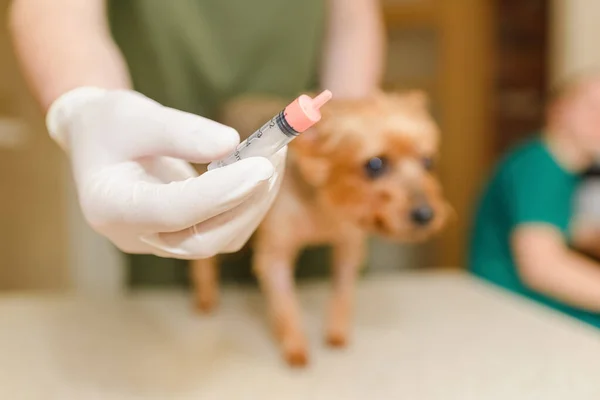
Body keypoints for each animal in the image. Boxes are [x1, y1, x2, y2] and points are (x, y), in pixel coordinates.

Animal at [190, 90, 448, 366]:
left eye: (429, 162)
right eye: (375, 164)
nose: (426, 215)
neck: (323, 205)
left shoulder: (349, 245)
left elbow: (343, 292)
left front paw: (336, 332)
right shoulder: (275, 255)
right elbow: (286, 303)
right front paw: (295, 347)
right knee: (205, 259)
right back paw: (206, 297)